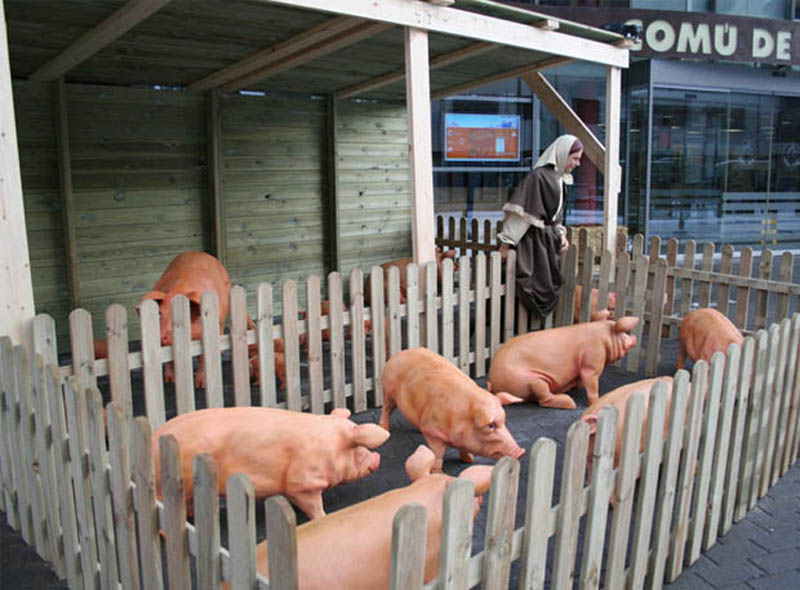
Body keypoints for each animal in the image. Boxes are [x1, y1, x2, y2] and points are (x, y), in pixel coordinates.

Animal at [138, 251, 231, 389]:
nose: (163, 336)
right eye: (160, 313)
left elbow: (202, 358)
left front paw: (200, 386)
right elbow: (168, 359)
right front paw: (169, 381)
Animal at [152, 406, 389, 520]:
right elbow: (314, 507)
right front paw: (323, 517)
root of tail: (154, 438)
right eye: (357, 448)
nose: (378, 459)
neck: (328, 448)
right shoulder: (303, 482)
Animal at [379, 347, 524, 472]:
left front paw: (469, 460)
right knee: (386, 409)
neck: (461, 417)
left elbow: (464, 449)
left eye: (504, 421)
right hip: (388, 391)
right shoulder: (433, 432)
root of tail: (398, 354)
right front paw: (438, 473)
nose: (521, 452)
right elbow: (438, 456)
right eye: (490, 426)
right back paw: (384, 429)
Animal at [487, 316, 640, 409]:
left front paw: (577, 386)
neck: (604, 339)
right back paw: (570, 403)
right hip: (532, 380)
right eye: (623, 334)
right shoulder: (592, 359)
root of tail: (494, 384)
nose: (634, 338)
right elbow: (591, 382)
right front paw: (596, 402)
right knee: (544, 399)